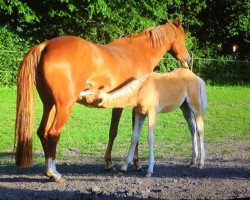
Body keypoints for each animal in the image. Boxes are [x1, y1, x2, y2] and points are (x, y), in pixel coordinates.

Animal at [14, 18, 190, 182]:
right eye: (184, 36)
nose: (187, 59)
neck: (138, 53)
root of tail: (46, 45)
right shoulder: (136, 107)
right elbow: (134, 133)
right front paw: (136, 164)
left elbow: (113, 132)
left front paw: (109, 163)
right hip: (64, 106)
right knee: (52, 134)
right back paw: (54, 173)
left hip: (49, 105)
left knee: (42, 132)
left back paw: (47, 171)